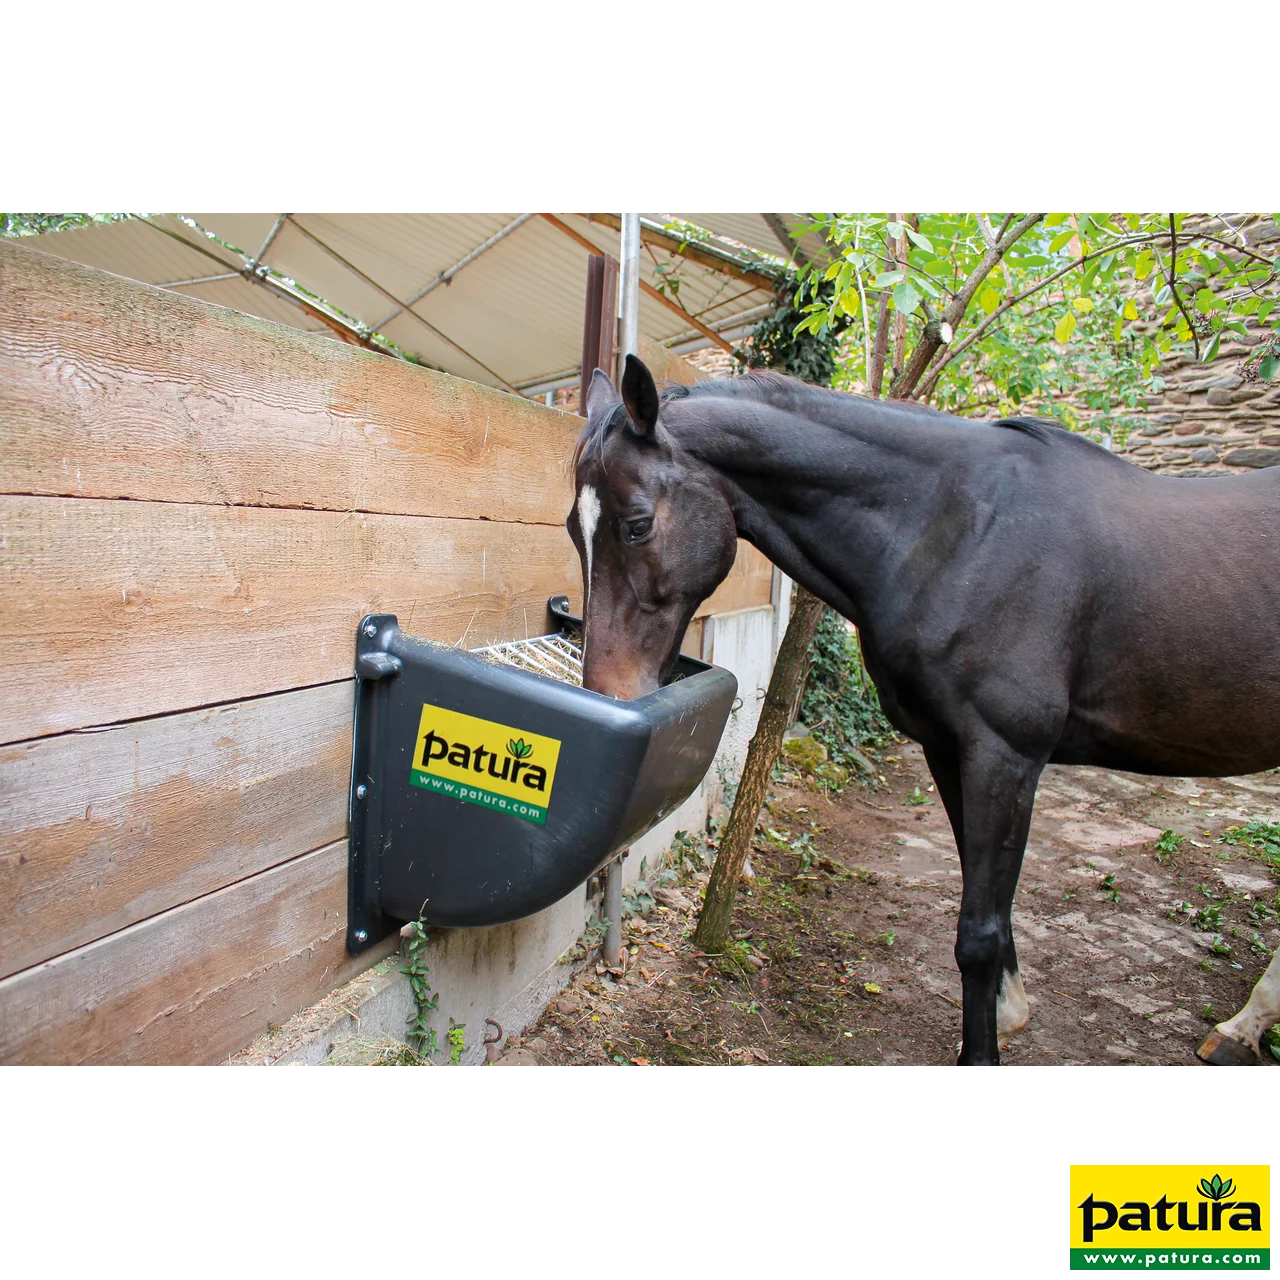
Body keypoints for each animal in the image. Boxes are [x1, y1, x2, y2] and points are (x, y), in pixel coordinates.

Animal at [566, 354, 1280, 1070]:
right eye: (574, 529)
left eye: (636, 523)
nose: (610, 691)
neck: (958, 530)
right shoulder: (947, 748)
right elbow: (986, 898)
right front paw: (1008, 1014)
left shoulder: (1004, 757)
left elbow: (980, 930)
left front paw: (982, 1055)